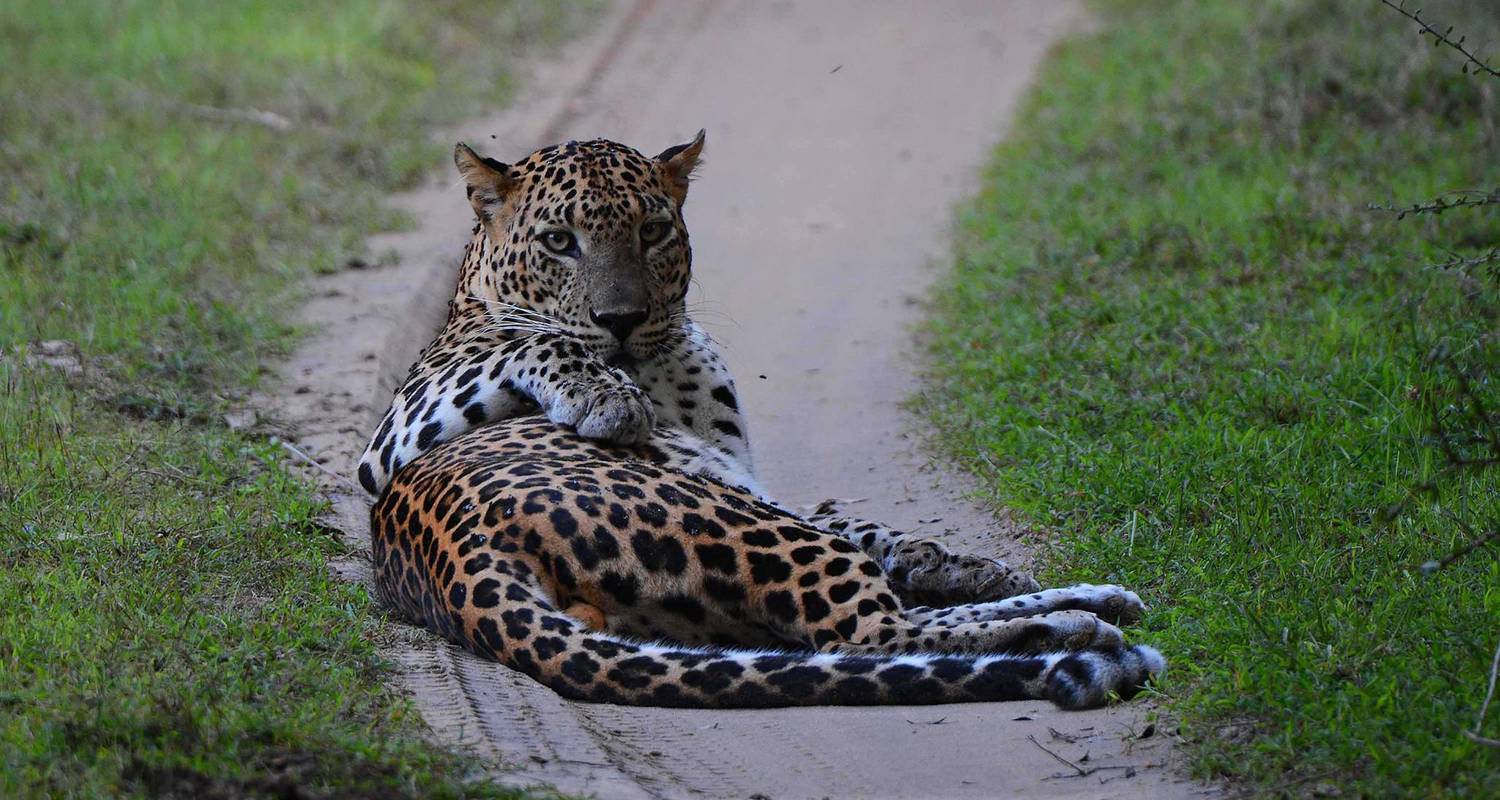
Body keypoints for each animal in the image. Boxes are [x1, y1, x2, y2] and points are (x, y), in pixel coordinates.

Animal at [355, 132, 1165, 709]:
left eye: (652, 232)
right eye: (560, 242)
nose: (622, 321)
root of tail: (460, 563)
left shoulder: (752, 478)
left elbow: (868, 526)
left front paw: (957, 562)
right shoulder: (389, 438)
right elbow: (535, 340)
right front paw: (604, 394)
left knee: (854, 629)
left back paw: (1093, 599)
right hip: (736, 525)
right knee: (870, 635)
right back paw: (1078, 630)